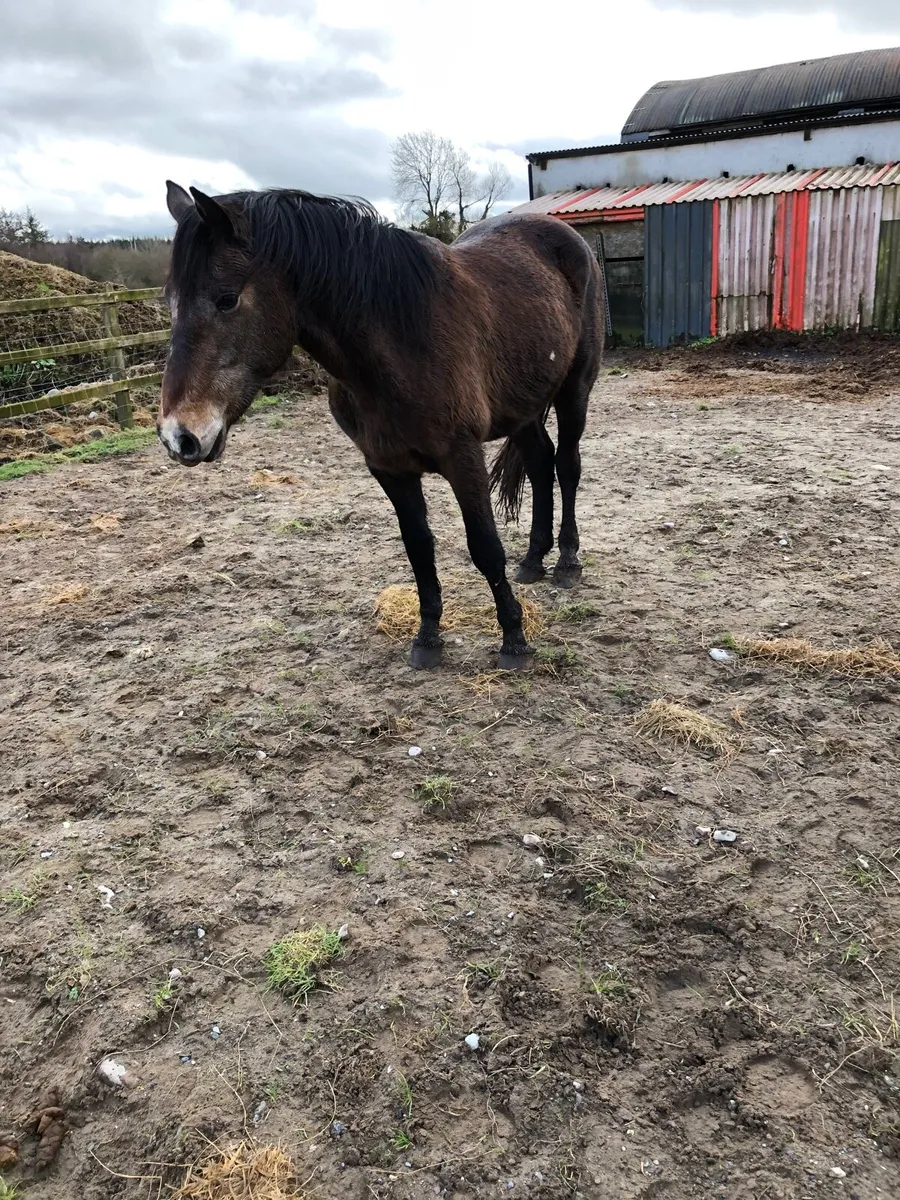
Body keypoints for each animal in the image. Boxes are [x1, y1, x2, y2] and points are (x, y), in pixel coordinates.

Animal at [158, 182, 603, 670]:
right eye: (170, 303)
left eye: (227, 298)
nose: (179, 436)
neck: (398, 341)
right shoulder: (389, 468)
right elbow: (419, 551)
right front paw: (427, 639)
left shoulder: (463, 458)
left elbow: (485, 548)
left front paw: (514, 640)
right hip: (522, 407)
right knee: (541, 464)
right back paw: (533, 559)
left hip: (574, 391)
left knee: (567, 466)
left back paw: (566, 562)